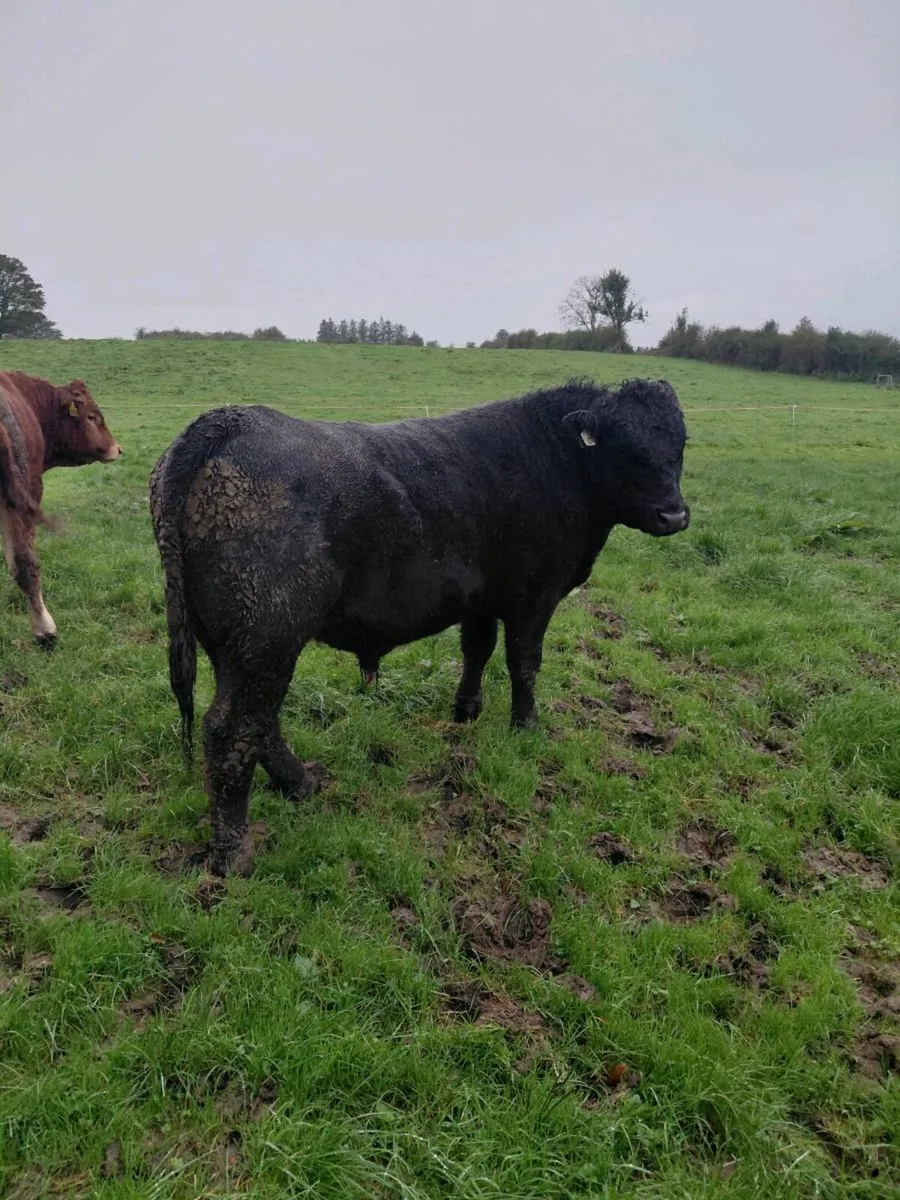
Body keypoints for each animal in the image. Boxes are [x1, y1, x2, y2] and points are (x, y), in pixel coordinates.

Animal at [150, 377, 690, 875]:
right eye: (627, 449)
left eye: (680, 444)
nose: (674, 514)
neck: (553, 459)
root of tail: (229, 421)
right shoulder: (534, 597)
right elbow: (524, 662)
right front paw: (526, 727)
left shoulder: (480, 599)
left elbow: (478, 649)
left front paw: (466, 710)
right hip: (268, 637)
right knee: (233, 727)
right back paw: (233, 850)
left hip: (234, 644)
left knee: (260, 721)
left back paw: (300, 783)